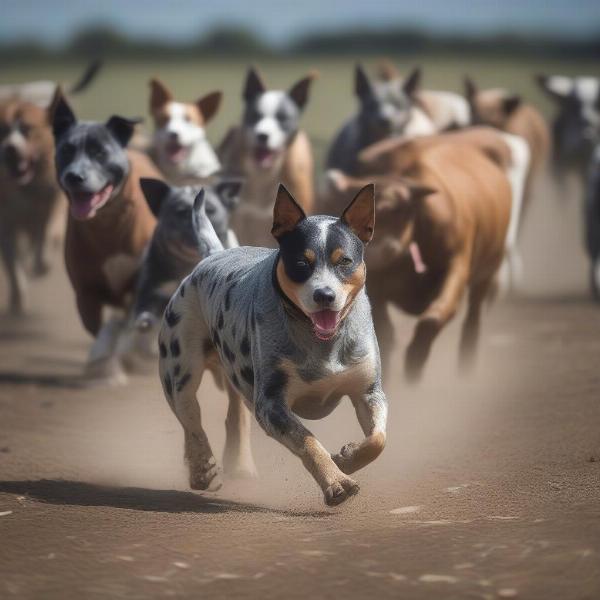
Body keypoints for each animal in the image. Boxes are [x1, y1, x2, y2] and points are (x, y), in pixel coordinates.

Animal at [0, 98, 66, 314]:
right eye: (2, 131)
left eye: (27, 129)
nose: (10, 148)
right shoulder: (6, 226)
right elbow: (13, 266)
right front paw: (18, 296)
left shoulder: (54, 202)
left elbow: (45, 232)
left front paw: (42, 262)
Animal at [52, 94, 159, 384]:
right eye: (66, 150)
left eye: (99, 152)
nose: (74, 176)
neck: (106, 225)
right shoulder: (85, 291)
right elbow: (99, 328)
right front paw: (105, 367)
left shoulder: (139, 282)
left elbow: (127, 323)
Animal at [157, 184, 386, 506]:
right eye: (301, 263)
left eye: (344, 261)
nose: (324, 295)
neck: (320, 342)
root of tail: (212, 256)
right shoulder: (271, 404)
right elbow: (307, 440)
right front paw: (337, 482)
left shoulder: (368, 391)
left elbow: (378, 439)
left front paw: (349, 457)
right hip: (179, 368)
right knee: (190, 419)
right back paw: (202, 468)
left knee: (235, 416)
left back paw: (238, 465)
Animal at [324, 131, 510, 382]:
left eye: (398, 209)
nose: (377, 250)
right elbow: (384, 332)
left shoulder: (456, 266)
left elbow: (435, 316)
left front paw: (414, 362)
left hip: (488, 269)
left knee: (473, 318)